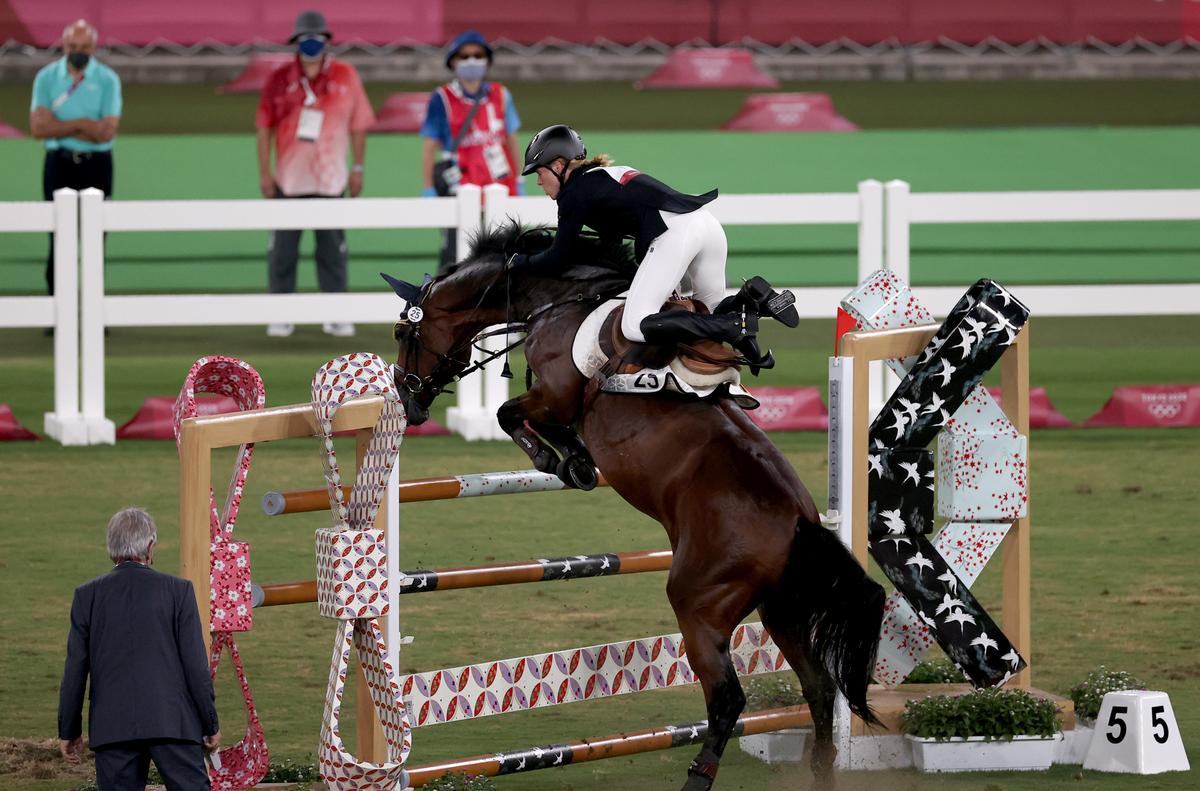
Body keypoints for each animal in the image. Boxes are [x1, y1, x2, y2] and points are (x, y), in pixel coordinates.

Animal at [385, 223, 884, 790]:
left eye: (404, 334)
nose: (408, 400)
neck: (559, 299)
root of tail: (800, 522)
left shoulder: (555, 396)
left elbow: (510, 413)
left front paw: (565, 459)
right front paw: (572, 459)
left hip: (700, 606)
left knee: (727, 699)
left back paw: (698, 777)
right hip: (782, 611)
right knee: (819, 688)